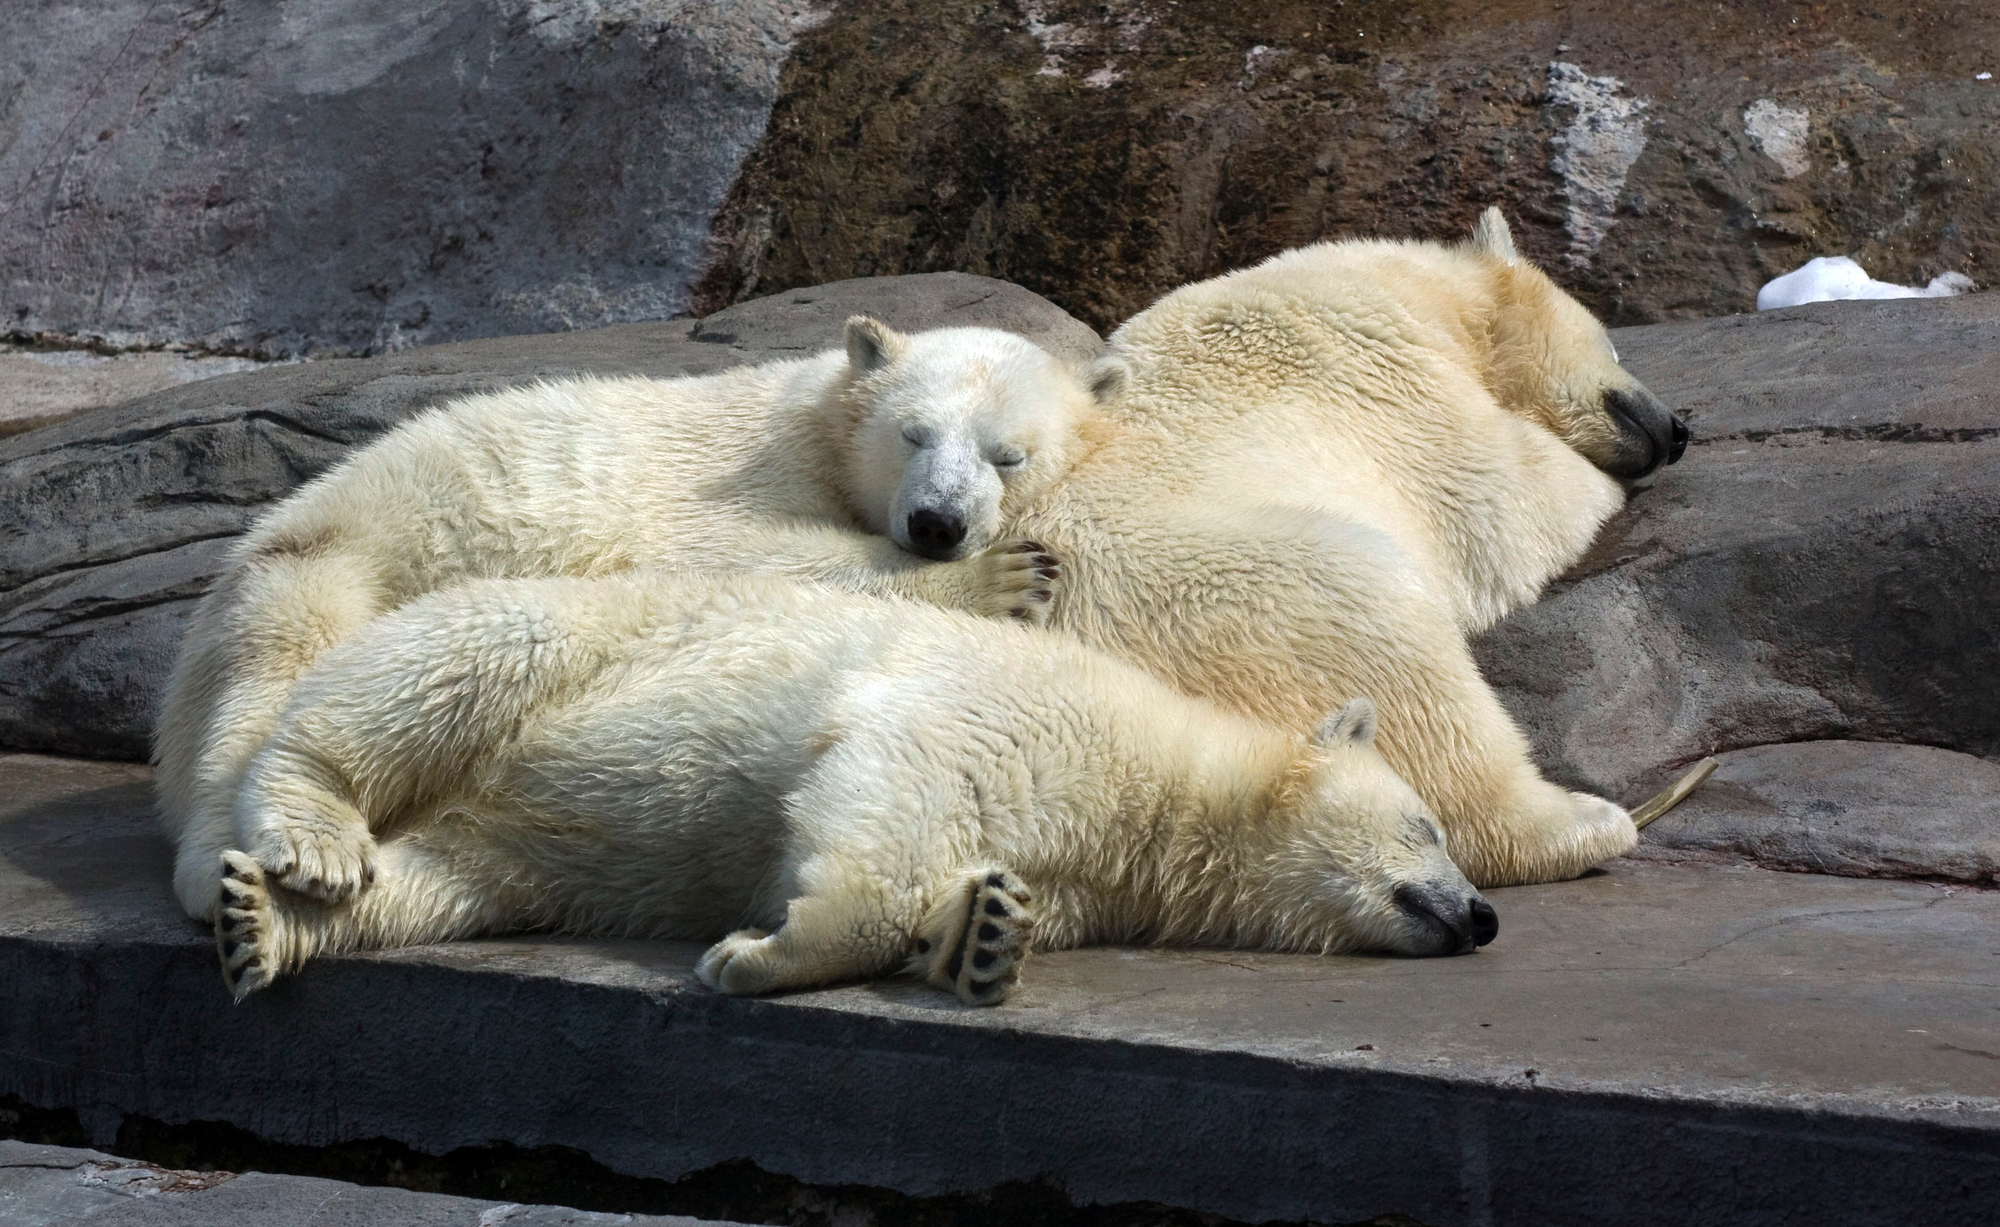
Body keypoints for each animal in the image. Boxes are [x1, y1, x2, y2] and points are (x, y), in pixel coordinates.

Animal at [156, 319, 1128, 923]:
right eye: (914, 433)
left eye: (1009, 454)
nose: (938, 523)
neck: (815, 421)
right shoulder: (730, 483)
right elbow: (736, 556)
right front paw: (1006, 577)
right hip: (328, 558)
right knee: (266, 682)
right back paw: (275, 853)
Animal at [211, 571, 1496, 1003]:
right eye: (1427, 826)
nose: (1481, 915)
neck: (1160, 776)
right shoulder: (991, 710)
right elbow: (883, 797)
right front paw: (759, 953)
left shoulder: (1100, 864)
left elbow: (983, 886)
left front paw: (983, 937)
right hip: (561, 640)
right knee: (433, 675)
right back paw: (311, 841)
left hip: (503, 851)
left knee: (440, 881)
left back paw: (267, 923)